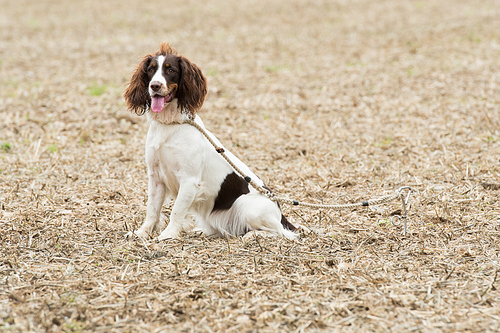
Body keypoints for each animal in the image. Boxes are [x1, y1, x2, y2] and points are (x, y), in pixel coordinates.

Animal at [123, 42, 296, 240]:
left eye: (171, 70)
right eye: (151, 69)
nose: (155, 86)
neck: (169, 124)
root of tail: (280, 213)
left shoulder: (189, 180)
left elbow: (176, 211)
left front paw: (168, 235)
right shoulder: (155, 177)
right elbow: (152, 209)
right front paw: (142, 233)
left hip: (247, 206)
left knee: (282, 233)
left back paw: (252, 235)